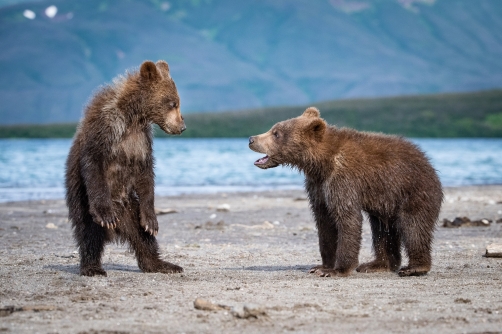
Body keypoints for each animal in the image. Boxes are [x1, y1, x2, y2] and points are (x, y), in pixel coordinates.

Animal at [64, 60, 186, 276]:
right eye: (173, 103)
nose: (182, 126)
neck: (133, 117)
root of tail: (117, 229)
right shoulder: (106, 127)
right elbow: (93, 163)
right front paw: (105, 214)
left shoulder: (141, 141)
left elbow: (145, 175)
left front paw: (152, 222)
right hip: (83, 203)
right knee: (89, 233)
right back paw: (92, 267)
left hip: (131, 207)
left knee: (143, 238)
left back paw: (161, 264)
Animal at [249, 107, 442, 276]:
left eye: (276, 133)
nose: (251, 139)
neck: (321, 163)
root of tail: (429, 163)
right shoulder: (318, 186)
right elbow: (324, 222)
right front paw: (322, 266)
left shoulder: (343, 180)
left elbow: (347, 218)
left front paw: (337, 270)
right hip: (385, 203)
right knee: (382, 231)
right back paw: (377, 265)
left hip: (413, 191)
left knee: (413, 227)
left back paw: (415, 267)